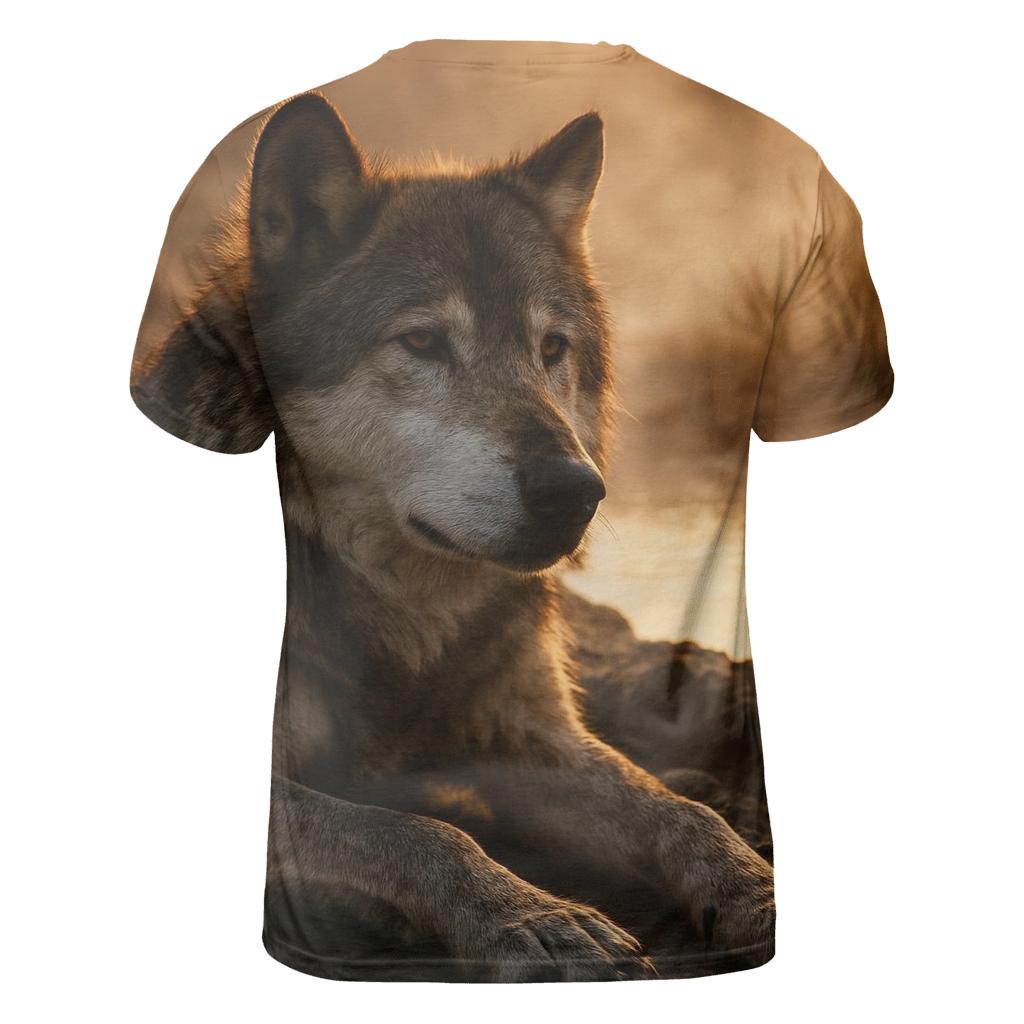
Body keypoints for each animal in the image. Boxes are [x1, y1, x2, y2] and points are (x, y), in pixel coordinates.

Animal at [142, 92, 775, 982]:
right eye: (422, 341)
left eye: (551, 348)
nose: (575, 491)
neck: (414, 629)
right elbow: (422, 832)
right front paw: (537, 918)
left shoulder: (524, 738)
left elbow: (678, 813)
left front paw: (755, 890)